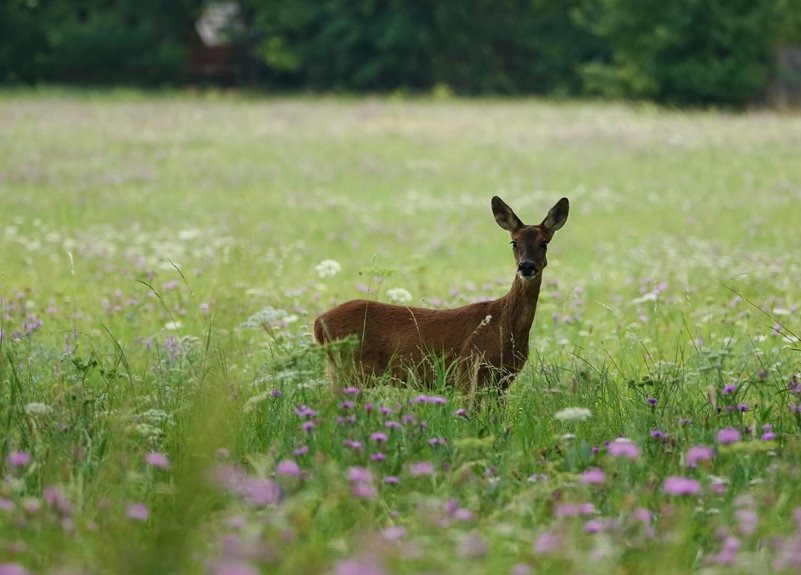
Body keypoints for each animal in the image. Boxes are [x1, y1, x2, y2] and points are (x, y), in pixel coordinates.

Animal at [313, 196, 569, 392]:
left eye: (544, 243)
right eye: (513, 242)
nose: (526, 266)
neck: (505, 324)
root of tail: (318, 322)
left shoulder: (503, 380)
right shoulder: (470, 371)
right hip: (352, 369)